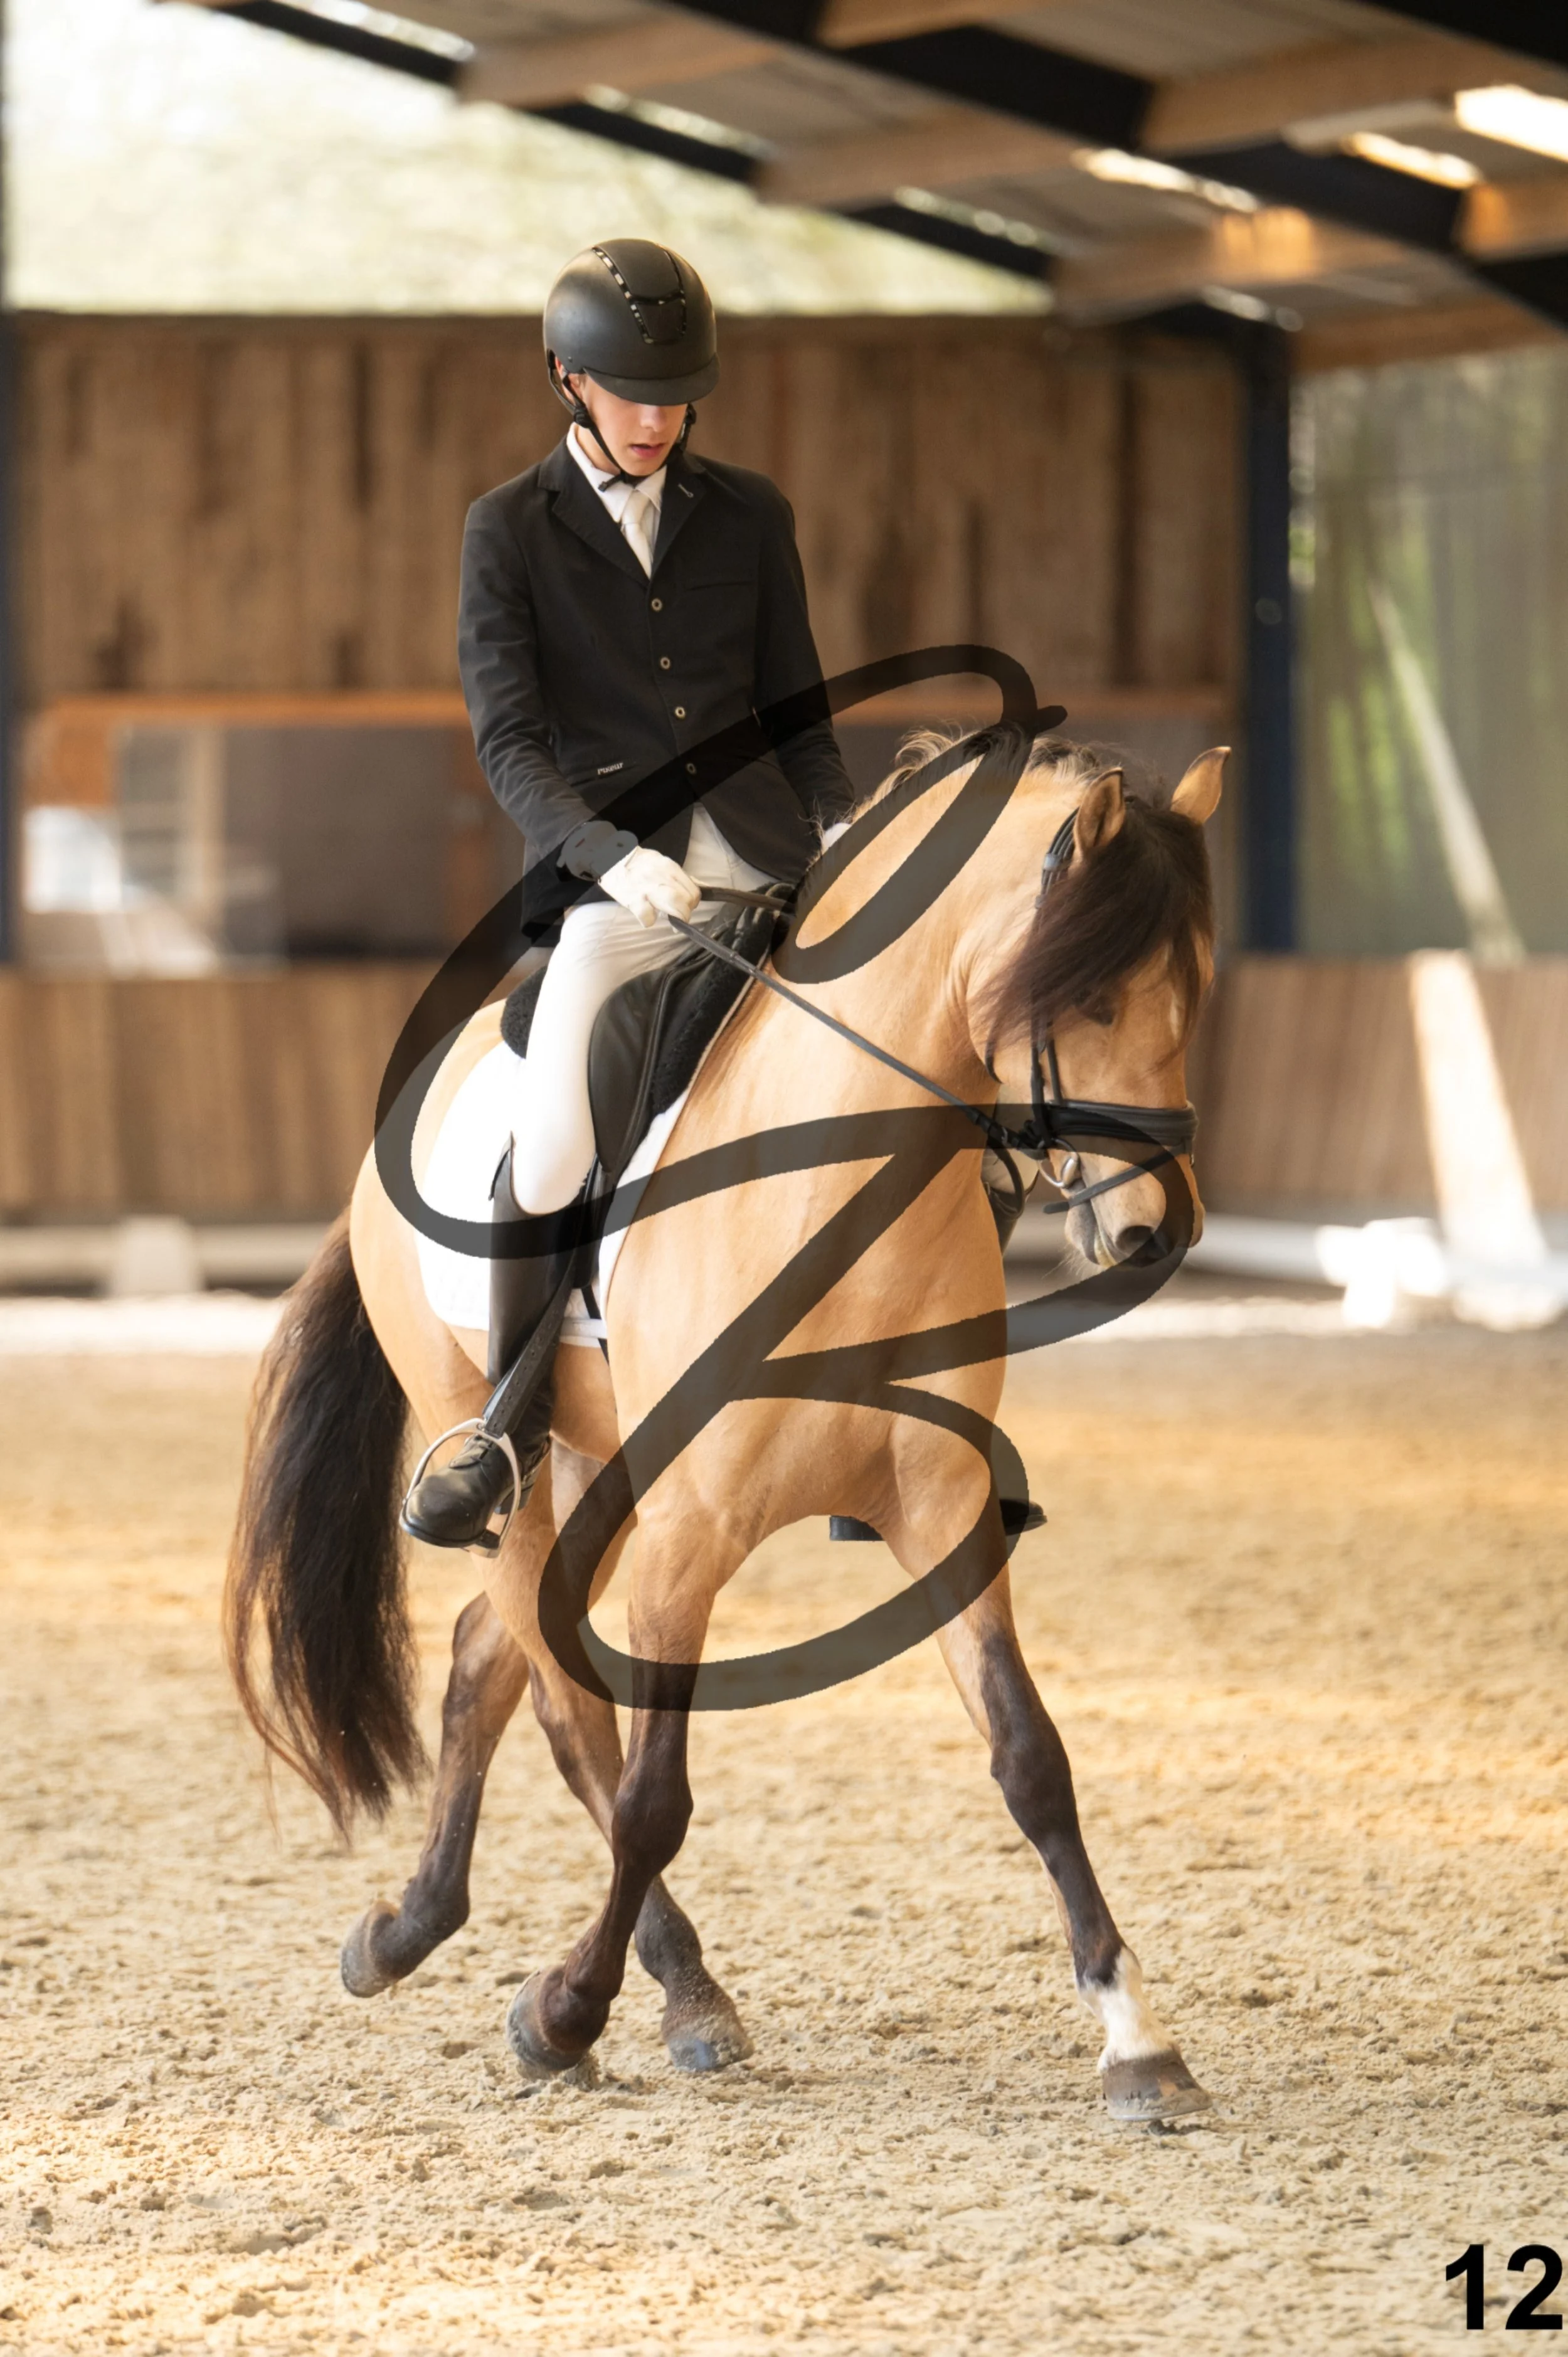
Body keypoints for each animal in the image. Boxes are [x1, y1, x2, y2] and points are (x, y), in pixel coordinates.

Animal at [226, 723, 1224, 2120]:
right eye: (1088, 999)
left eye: (1191, 993)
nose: (1154, 1232)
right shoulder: (692, 1531)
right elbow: (652, 1793)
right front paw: (563, 2013)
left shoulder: (942, 1509)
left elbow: (1031, 1756)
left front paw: (1138, 2038)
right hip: (514, 1457)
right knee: (559, 1699)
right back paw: (662, 1988)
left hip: (588, 1463)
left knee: (486, 1654)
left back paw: (409, 1928)